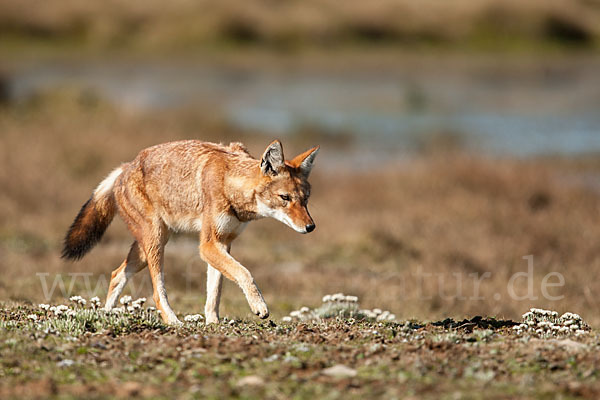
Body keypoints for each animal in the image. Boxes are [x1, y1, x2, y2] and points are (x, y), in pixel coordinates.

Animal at [62, 141, 318, 324]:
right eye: (285, 198)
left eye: (305, 200)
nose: (310, 227)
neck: (230, 184)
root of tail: (126, 166)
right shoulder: (207, 246)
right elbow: (245, 273)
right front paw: (259, 306)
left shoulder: (223, 243)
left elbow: (215, 292)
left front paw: (213, 323)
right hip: (155, 245)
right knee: (157, 293)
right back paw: (173, 321)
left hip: (145, 251)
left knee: (116, 274)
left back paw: (106, 316)